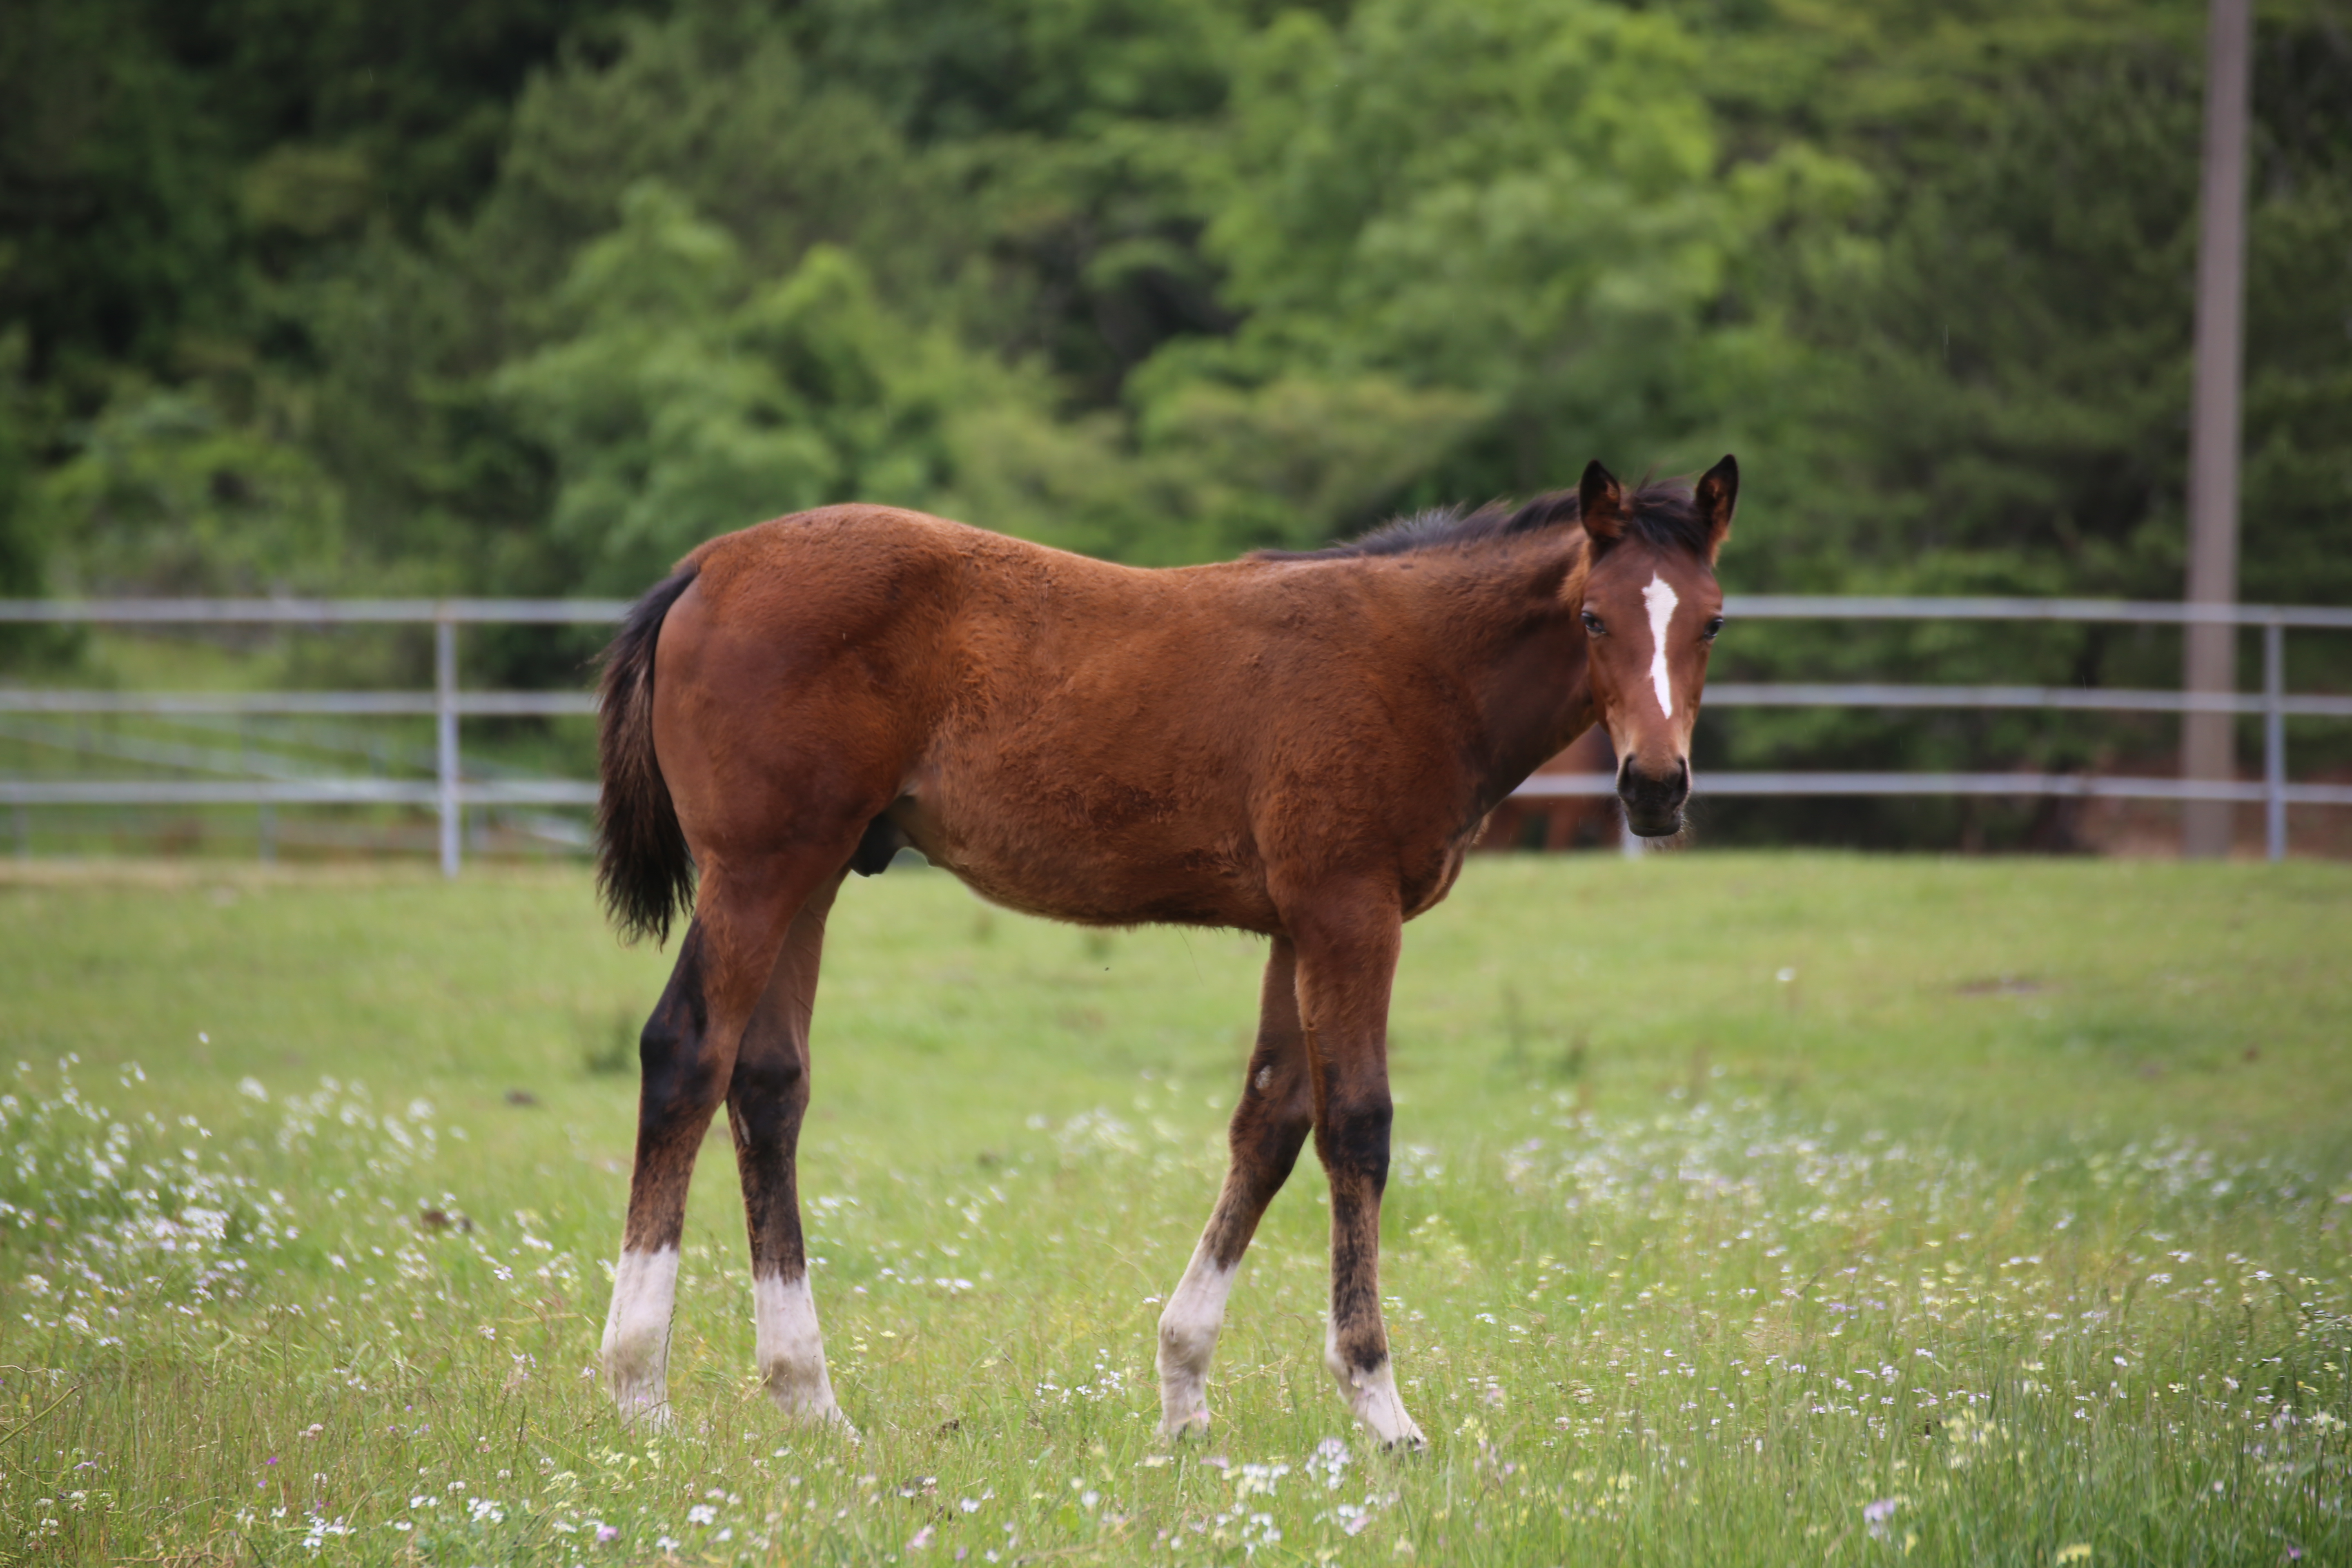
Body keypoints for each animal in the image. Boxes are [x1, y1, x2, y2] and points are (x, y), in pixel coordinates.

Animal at [588, 456, 1731, 1448]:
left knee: (769, 1083)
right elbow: (1357, 1127)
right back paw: (639, 1391)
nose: (1654, 786)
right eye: (1593, 616)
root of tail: (708, 566)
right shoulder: (1351, 910)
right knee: (687, 1052)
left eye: (1713, 619)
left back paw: (809, 1399)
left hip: (816, 872)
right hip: (758, 868)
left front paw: (1183, 1394)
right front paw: (1381, 1407)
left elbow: (1270, 1123)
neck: (1421, 660)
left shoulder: (1296, 925)